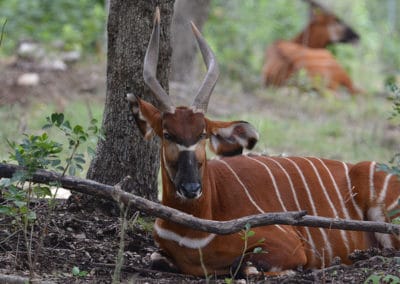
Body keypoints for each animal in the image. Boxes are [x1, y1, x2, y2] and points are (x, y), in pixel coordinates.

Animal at [127, 8, 396, 276]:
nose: (191, 188)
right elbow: (156, 257)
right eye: (168, 134)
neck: (193, 231)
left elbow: (245, 266)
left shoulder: (288, 246)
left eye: (202, 134)